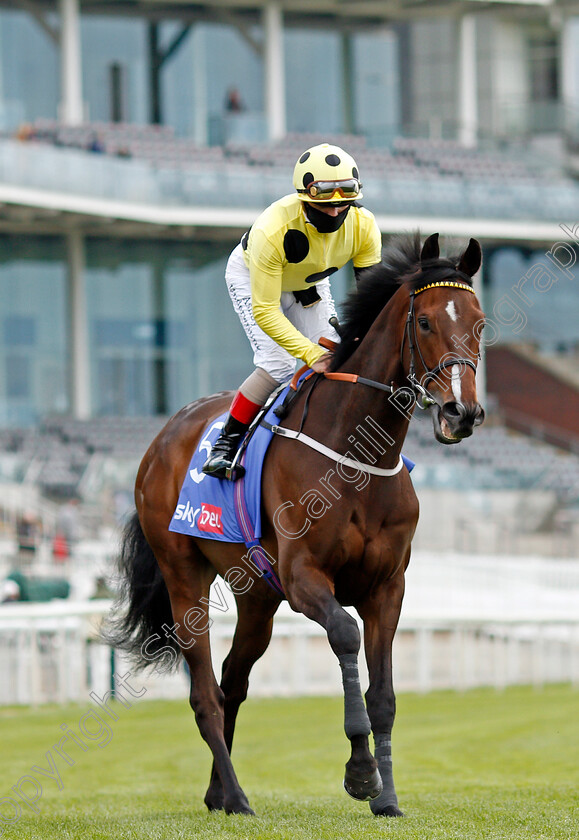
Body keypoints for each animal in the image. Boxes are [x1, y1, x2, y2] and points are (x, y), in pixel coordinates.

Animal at [106, 230, 488, 812]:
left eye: (480, 322)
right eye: (424, 322)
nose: (460, 413)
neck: (356, 455)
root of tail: (163, 438)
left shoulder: (387, 587)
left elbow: (384, 694)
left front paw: (387, 798)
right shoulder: (305, 576)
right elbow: (344, 634)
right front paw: (360, 772)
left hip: (257, 595)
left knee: (231, 680)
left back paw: (218, 793)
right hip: (184, 576)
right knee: (204, 693)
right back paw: (237, 796)